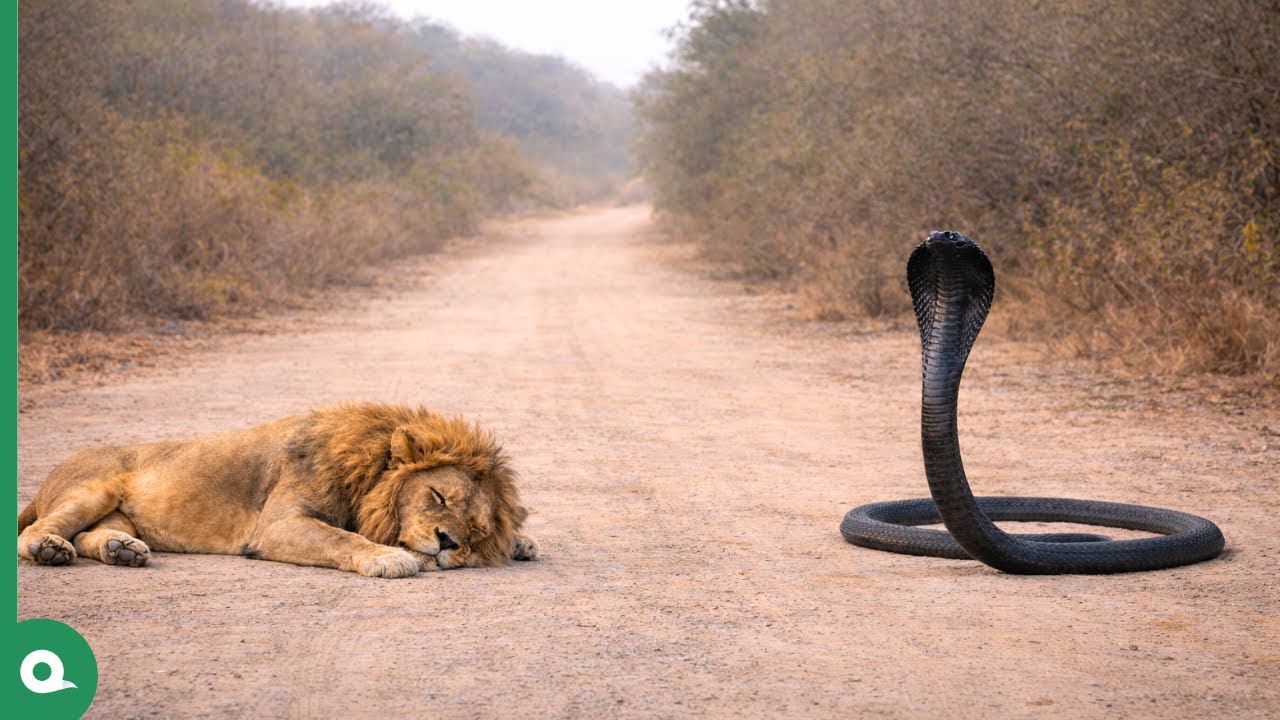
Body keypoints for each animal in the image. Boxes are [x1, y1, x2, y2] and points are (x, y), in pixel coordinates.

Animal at [17, 403, 539, 577]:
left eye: (474, 530)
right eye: (438, 497)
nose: (448, 543)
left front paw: (521, 541)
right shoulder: (279, 525)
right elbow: (341, 537)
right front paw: (389, 557)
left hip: (117, 512)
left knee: (92, 535)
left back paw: (122, 550)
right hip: (92, 488)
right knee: (35, 532)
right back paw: (49, 550)